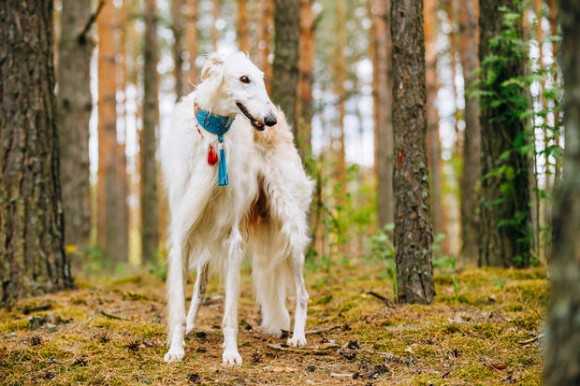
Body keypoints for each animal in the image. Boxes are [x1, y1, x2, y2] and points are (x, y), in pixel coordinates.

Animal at [160, 51, 312, 364]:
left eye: (262, 78)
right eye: (244, 78)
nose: (270, 119)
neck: (213, 137)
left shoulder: (232, 237)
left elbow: (229, 312)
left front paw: (230, 353)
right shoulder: (183, 231)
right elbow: (180, 304)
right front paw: (176, 348)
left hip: (290, 228)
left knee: (303, 293)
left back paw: (298, 336)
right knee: (200, 288)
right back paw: (192, 323)